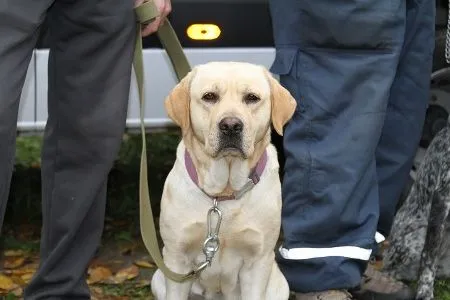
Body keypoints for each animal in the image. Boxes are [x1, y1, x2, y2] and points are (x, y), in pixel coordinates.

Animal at [152, 61, 296, 300]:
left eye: (252, 97)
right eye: (209, 96)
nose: (230, 125)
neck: (223, 194)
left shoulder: (257, 262)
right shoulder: (176, 258)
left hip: (279, 286)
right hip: (158, 278)